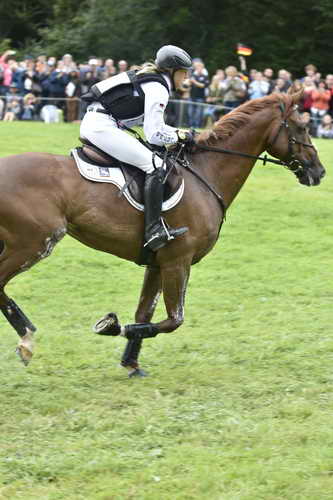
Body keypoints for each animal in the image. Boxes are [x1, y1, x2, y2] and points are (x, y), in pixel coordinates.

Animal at [0, 87, 324, 376]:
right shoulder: (177, 261)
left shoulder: (158, 263)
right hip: (32, 243)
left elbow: (145, 313)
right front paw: (111, 326)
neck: (206, 175)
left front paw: (131, 363)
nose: (319, 172)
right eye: (302, 126)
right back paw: (27, 339)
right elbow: (172, 320)